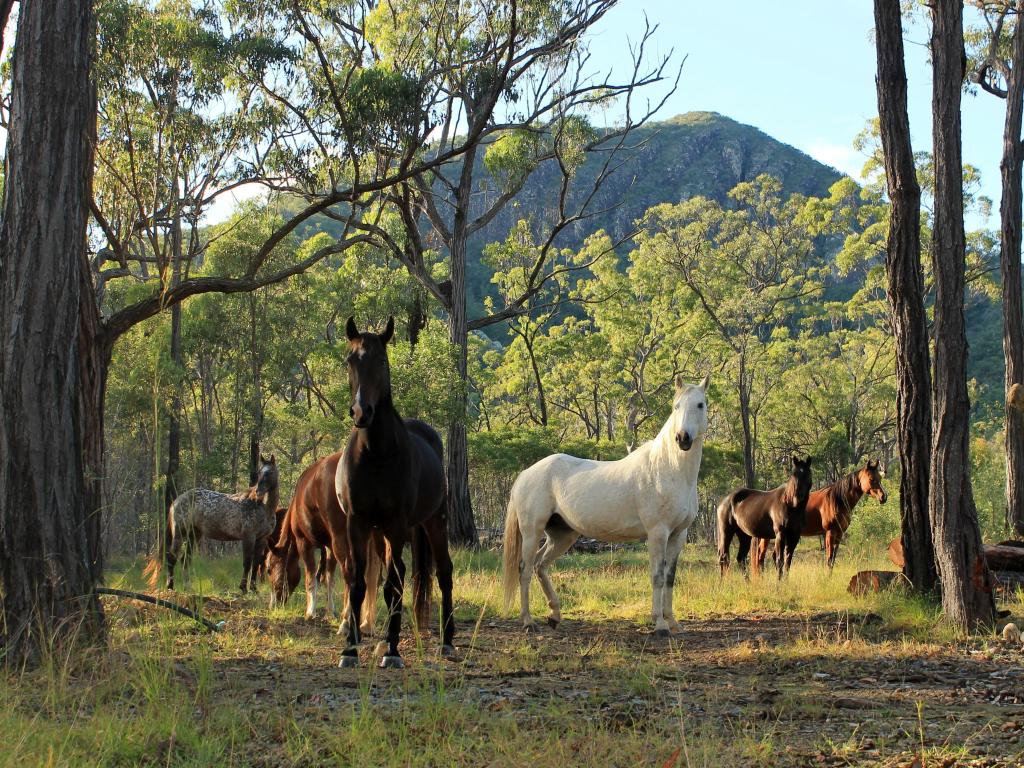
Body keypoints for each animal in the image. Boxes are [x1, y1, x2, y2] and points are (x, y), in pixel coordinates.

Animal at [165, 456, 282, 593]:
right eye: (259, 472)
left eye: (270, 472)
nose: (259, 492)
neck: (262, 507)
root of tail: (177, 501)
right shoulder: (249, 537)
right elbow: (247, 562)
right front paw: (243, 588)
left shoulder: (261, 539)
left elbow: (256, 563)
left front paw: (253, 588)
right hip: (180, 533)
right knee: (172, 557)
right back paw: (170, 586)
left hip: (194, 535)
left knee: (185, 560)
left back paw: (187, 587)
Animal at [268, 450, 385, 638]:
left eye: (269, 569)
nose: (275, 604)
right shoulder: (330, 547)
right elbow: (329, 578)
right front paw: (330, 612)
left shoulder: (304, 542)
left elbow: (311, 577)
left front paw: (310, 612)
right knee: (370, 575)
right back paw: (366, 625)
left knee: (350, 573)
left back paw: (346, 623)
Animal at [333, 315, 454, 671]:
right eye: (350, 360)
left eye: (382, 361)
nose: (362, 413)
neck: (375, 454)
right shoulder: (357, 524)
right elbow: (358, 582)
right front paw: (351, 649)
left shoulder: (397, 524)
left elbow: (393, 584)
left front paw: (393, 651)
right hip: (382, 533)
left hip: (433, 522)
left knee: (443, 572)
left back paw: (447, 641)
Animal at [499, 374, 708, 638]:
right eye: (676, 407)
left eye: (700, 404)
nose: (682, 438)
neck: (668, 469)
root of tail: (526, 473)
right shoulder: (658, 533)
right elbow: (658, 577)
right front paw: (660, 625)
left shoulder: (678, 535)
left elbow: (670, 577)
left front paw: (673, 623)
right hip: (531, 532)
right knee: (525, 570)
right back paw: (528, 621)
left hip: (562, 535)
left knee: (540, 565)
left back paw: (555, 615)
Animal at [753, 456, 888, 573]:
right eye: (871, 479)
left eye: (880, 479)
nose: (884, 497)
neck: (837, 500)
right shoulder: (829, 533)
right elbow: (829, 559)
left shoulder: (839, 534)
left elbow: (833, 559)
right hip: (768, 536)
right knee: (761, 557)